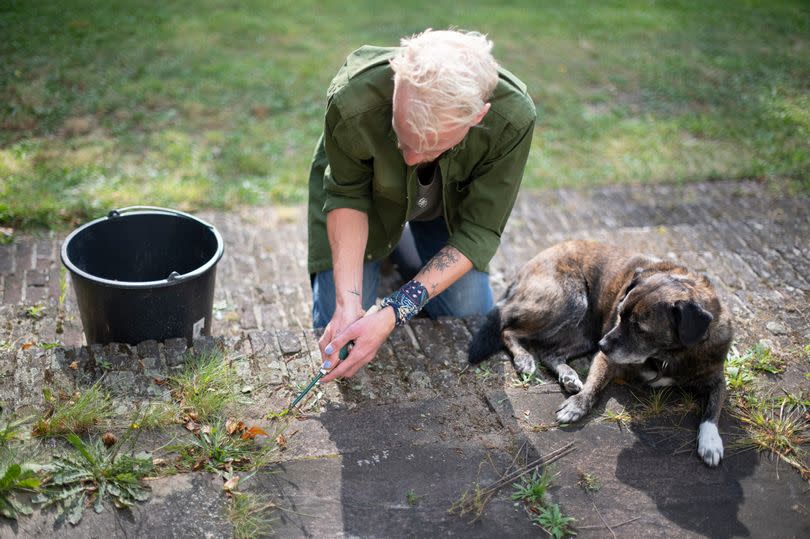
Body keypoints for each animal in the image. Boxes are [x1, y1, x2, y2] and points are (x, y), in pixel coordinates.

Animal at [468, 238, 732, 466]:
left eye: (639, 329)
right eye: (620, 314)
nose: (602, 344)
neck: (668, 356)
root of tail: (528, 265)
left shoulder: (716, 378)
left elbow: (713, 411)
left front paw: (711, 443)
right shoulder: (607, 359)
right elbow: (594, 385)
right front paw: (577, 406)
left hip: (584, 332)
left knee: (550, 353)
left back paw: (568, 376)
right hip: (569, 302)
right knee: (508, 328)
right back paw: (525, 359)